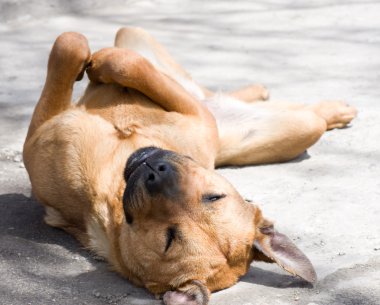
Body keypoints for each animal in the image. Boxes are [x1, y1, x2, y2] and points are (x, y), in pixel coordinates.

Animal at [23, 27, 356, 302]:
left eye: (169, 239)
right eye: (214, 197)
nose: (155, 171)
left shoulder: (40, 134)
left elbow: (73, 48)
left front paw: (98, 60)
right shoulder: (195, 115)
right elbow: (112, 59)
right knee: (197, 87)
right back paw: (316, 105)